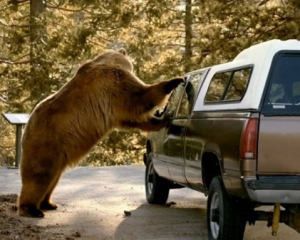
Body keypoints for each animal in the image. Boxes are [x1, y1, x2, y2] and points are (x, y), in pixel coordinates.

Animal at [18, 48, 184, 218]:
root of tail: (27, 127)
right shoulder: (113, 84)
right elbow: (139, 97)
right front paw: (175, 81)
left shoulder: (114, 106)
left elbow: (131, 118)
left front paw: (160, 119)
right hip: (47, 141)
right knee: (40, 175)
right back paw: (31, 209)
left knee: (54, 177)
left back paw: (48, 203)